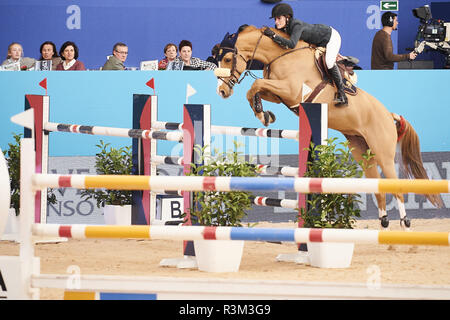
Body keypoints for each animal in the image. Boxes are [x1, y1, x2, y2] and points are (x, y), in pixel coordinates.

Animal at [214, 25, 442, 230]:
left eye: (227, 59)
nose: (222, 91)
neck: (280, 55)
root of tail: (389, 115)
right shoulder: (280, 94)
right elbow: (257, 90)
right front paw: (264, 114)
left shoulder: (291, 90)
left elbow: (256, 85)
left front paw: (262, 114)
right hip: (362, 152)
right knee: (378, 187)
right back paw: (384, 224)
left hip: (383, 154)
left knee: (395, 187)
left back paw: (404, 223)